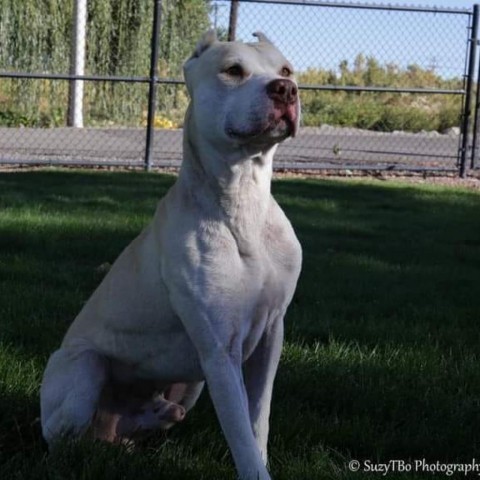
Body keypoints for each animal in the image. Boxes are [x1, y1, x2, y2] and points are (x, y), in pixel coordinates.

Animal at [42, 31, 304, 478]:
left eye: (286, 69)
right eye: (233, 70)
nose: (285, 89)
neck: (243, 200)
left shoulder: (270, 333)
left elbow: (258, 418)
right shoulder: (220, 352)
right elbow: (240, 433)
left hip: (191, 386)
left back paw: (154, 421)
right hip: (84, 368)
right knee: (65, 439)